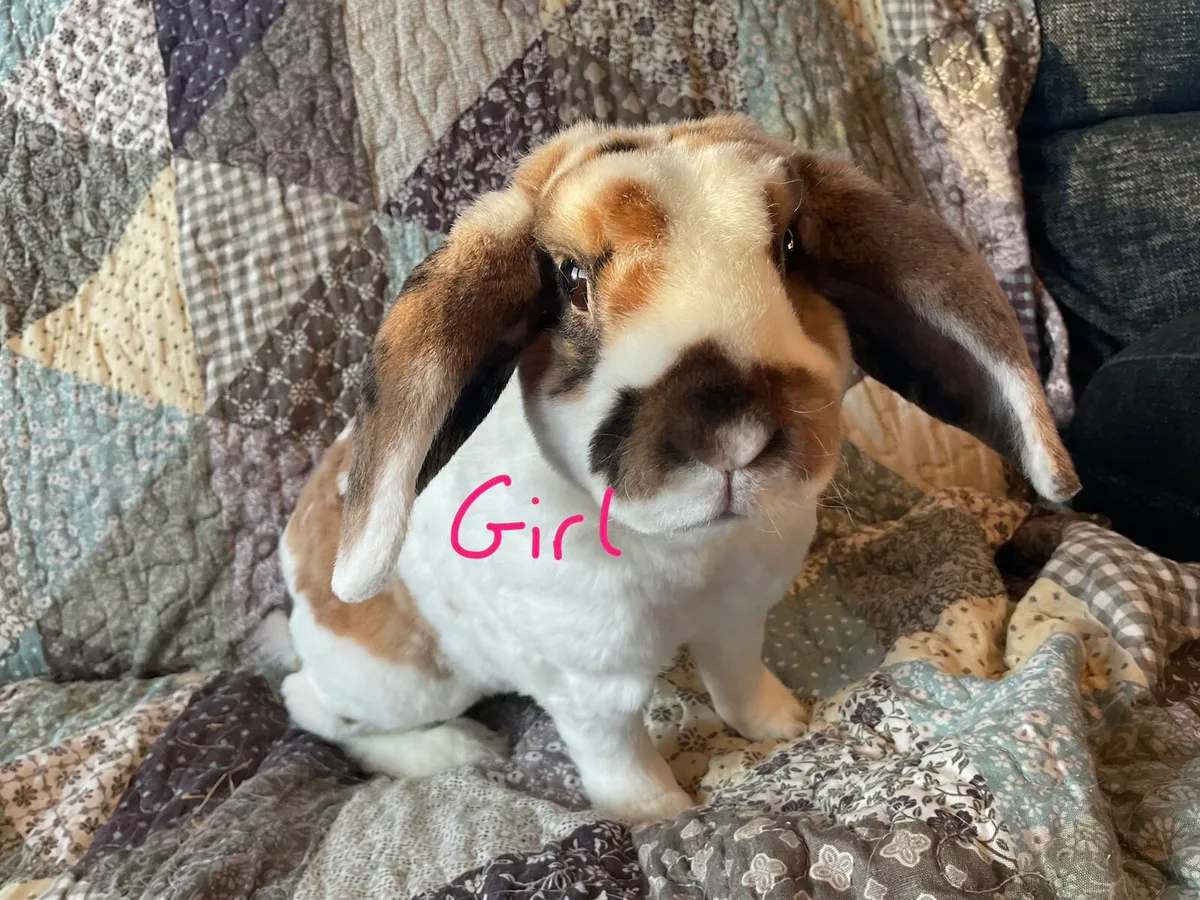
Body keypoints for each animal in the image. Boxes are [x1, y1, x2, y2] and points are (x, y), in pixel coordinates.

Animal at [273, 114, 1080, 824]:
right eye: (570, 278)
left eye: (789, 245)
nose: (733, 434)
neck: (687, 552)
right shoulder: (591, 687)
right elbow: (620, 759)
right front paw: (655, 816)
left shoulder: (737, 618)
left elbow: (738, 680)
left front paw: (784, 724)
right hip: (405, 681)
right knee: (305, 702)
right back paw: (459, 748)